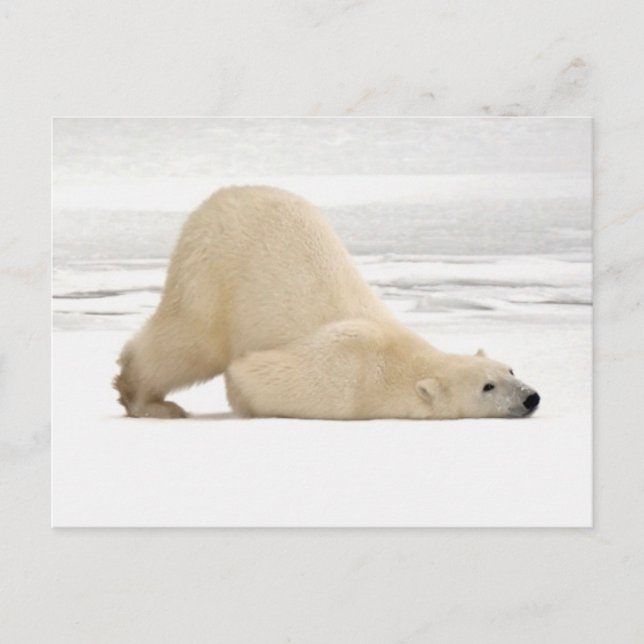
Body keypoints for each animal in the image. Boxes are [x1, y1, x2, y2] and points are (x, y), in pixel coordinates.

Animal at [114, 186, 540, 420]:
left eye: (511, 369)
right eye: (487, 386)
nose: (531, 397)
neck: (399, 359)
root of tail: (219, 197)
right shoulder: (347, 375)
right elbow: (250, 373)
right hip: (213, 273)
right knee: (188, 343)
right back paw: (148, 401)